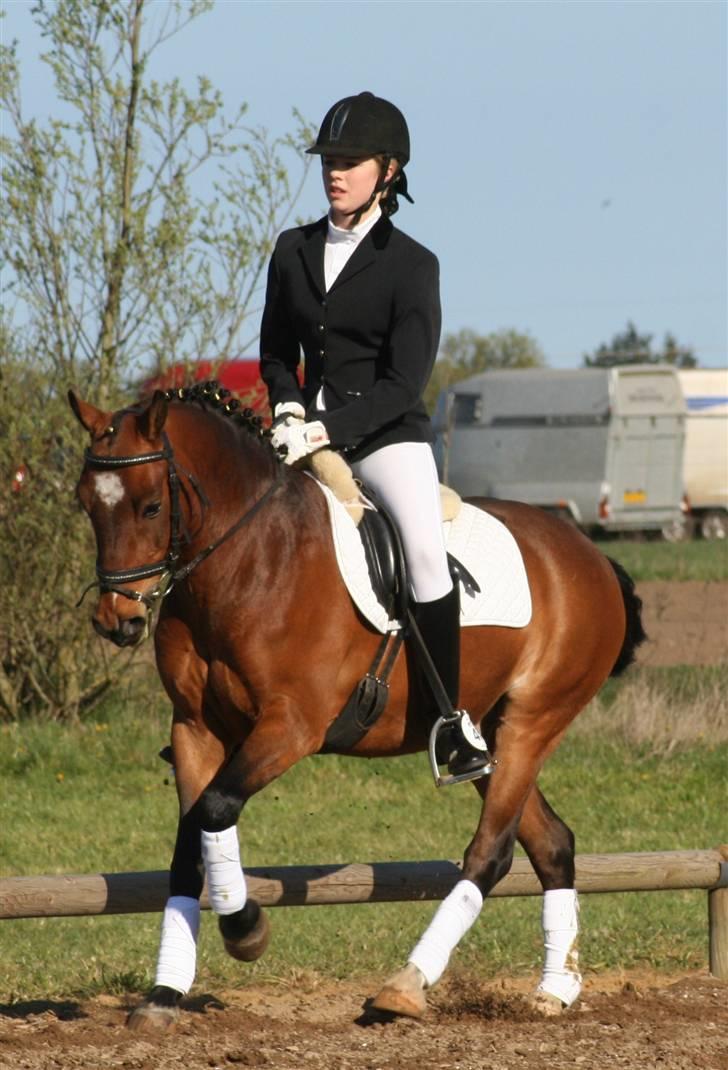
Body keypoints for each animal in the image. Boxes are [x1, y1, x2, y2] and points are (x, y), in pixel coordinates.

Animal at [68, 382, 645, 1032]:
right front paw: (165, 993)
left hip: (533, 722)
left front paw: (246, 930)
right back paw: (556, 990)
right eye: (86, 504)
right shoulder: (196, 728)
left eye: (149, 507)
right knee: (551, 843)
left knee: (491, 853)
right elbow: (192, 839)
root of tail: (592, 557)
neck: (249, 560)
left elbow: (215, 809)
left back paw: (406, 986)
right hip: (490, 736)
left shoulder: (292, 726)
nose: (117, 621)